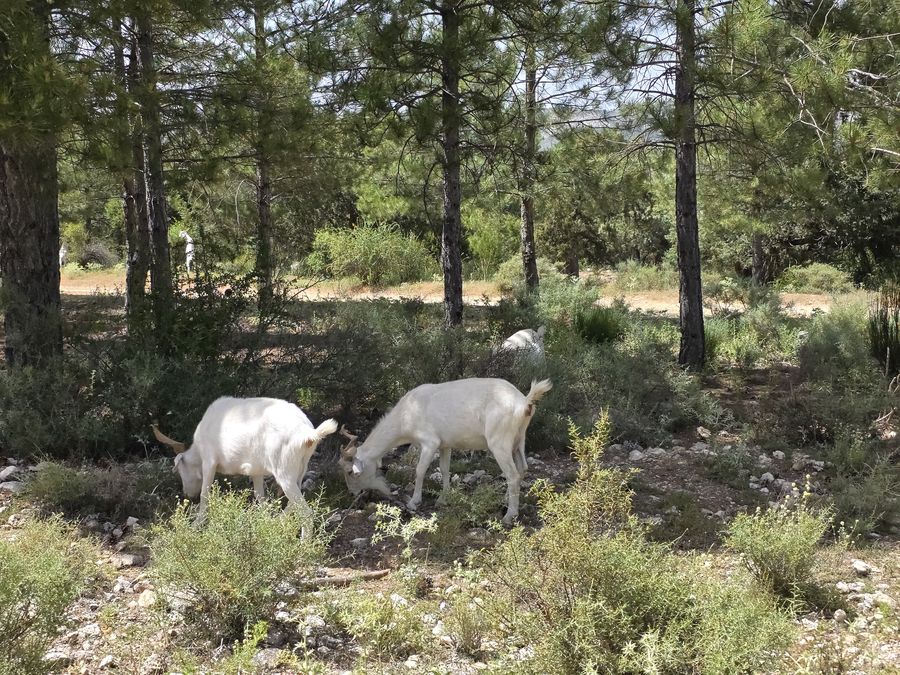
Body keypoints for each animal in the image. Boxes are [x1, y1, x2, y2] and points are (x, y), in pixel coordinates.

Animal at [151, 397, 337, 528]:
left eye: (180, 470)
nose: (188, 495)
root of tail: (308, 434)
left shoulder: (210, 461)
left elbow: (205, 494)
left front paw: (196, 524)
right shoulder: (256, 471)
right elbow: (260, 497)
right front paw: (264, 522)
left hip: (284, 471)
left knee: (306, 513)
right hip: (300, 468)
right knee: (293, 503)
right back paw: (277, 523)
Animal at [338, 378, 552, 524]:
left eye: (350, 472)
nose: (352, 493)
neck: (405, 417)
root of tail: (525, 402)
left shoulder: (429, 442)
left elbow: (420, 470)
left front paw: (414, 501)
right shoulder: (445, 444)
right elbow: (444, 469)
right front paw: (443, 498)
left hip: (499, 442)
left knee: (512, 475)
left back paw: (509, 515)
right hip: (519, 440)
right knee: (522, 469)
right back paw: (506, 501)